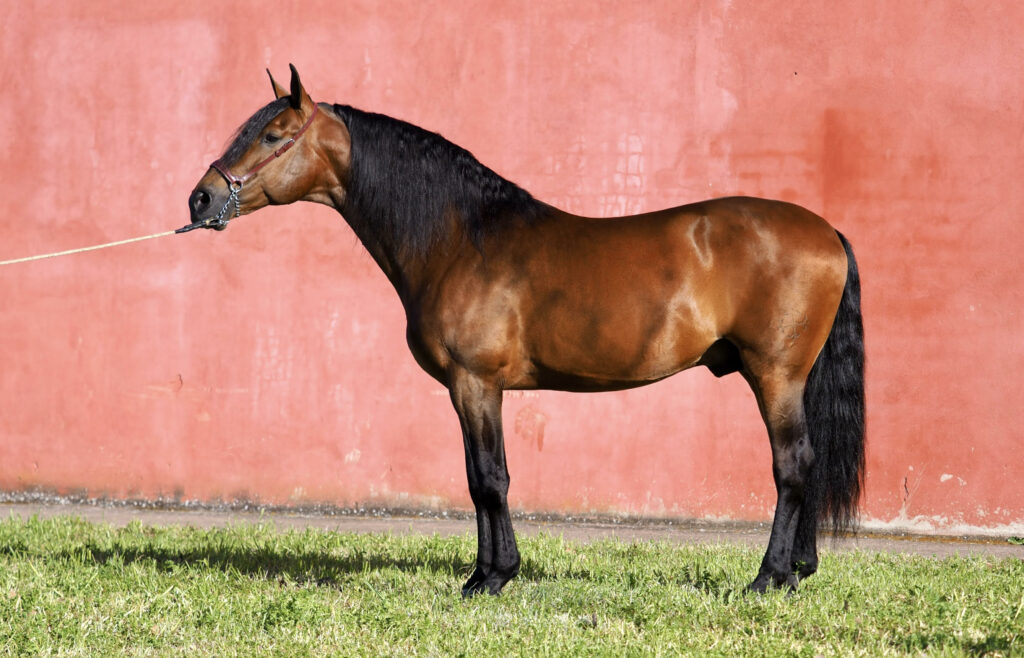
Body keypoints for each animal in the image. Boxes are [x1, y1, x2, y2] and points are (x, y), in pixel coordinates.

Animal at [185, 65, 865, 596]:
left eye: (272, 135)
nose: (200, 199)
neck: (461, 239)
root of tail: (826, 230)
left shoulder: (476, 383)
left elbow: (490, 479)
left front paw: (492, 577)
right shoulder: (470, 390)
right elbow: (478, 478)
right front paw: (486, 572)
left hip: (776, 376)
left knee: (793, 464)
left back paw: (769, 577)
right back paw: (799, 569)